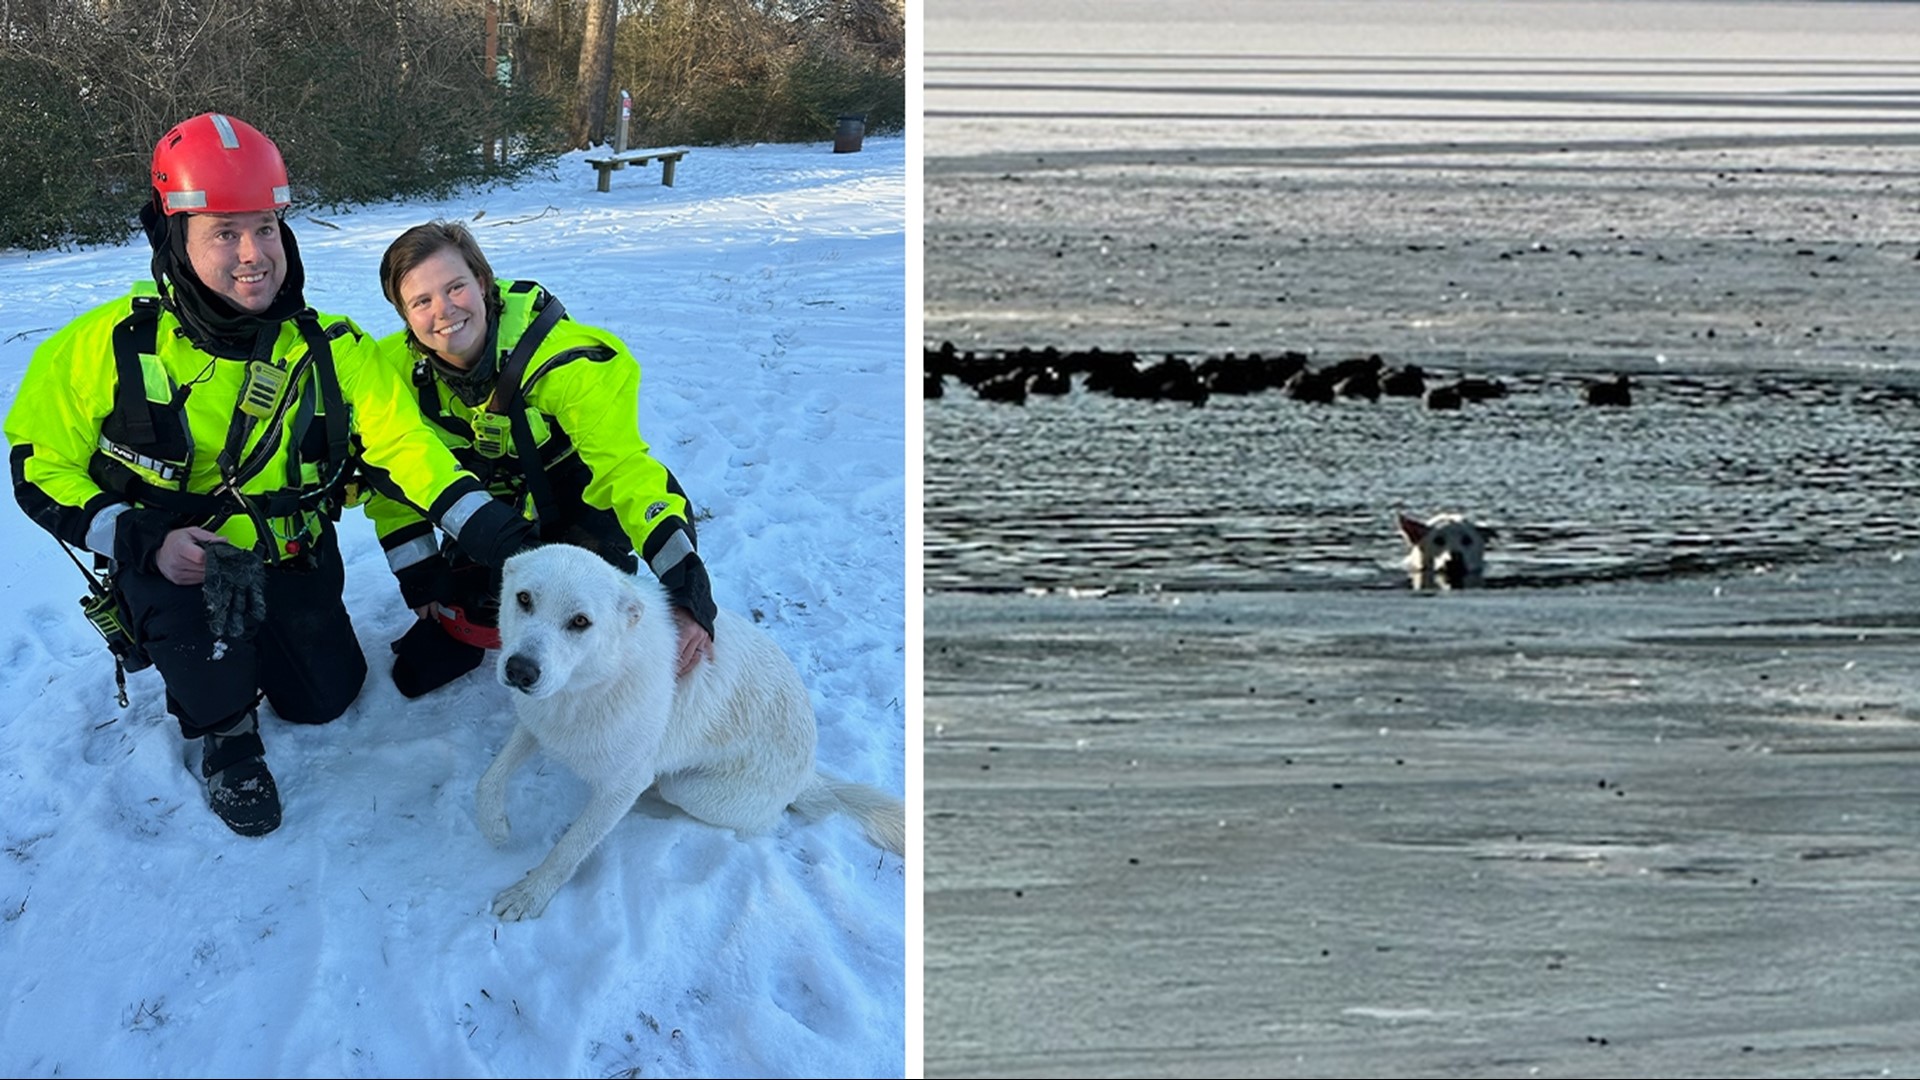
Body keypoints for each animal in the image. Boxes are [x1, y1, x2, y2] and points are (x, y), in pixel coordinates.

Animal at [472, 541, 906, 910]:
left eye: (580, 622)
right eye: (524, 599)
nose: (520, 670)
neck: (591, 686)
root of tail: (808, 775)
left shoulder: (623, 784)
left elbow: (571, 848)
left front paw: (530, 894)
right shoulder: (535, 726)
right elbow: (489, 778)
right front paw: (494, 826)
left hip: (690, 790)